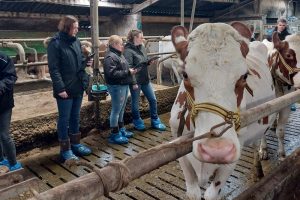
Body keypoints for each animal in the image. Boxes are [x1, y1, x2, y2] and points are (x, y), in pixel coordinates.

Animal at [170, 22, 296, 199]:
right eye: (185, 74)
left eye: (244, 76)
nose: (217, 150)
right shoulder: (179, 148)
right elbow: (193, 193)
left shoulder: (234, 152)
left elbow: (212, 194)